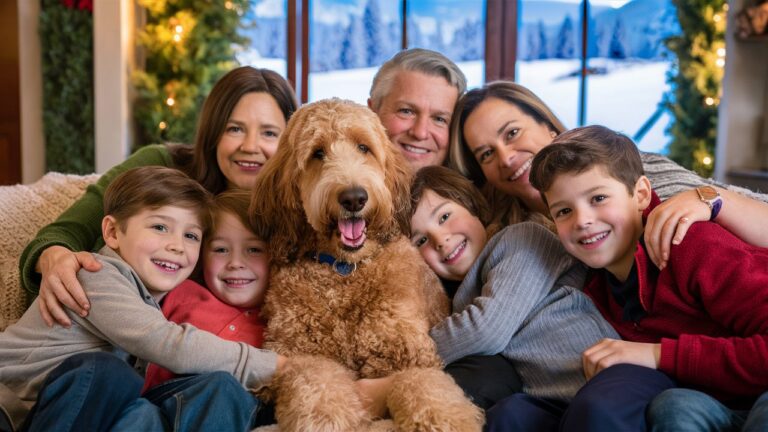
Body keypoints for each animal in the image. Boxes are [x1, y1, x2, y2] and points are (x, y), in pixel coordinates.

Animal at [250, 99, 480, 430]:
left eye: (364, 147)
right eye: (317, 153)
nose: (354, 198)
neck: (344, 271)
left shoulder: (410, 354)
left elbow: (422, 384)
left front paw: (441, 420)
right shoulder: (296, 353)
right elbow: (316, 380)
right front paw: (325, 419)